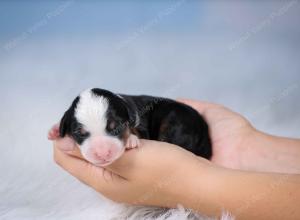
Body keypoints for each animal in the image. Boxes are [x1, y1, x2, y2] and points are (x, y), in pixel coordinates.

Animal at [48, 88, 211, 166]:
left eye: (116, 127)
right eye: (80, 133)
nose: (102, 154)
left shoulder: (141, 126)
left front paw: (131, 140)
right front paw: (54, 130)